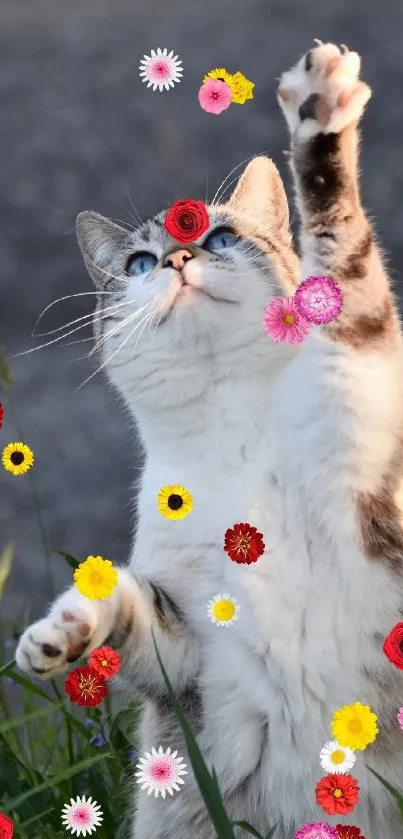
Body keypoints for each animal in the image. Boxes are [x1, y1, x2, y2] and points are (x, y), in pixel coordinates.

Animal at [16, 42, 403, 836]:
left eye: (220, 237)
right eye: (138, 263)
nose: (176, 260)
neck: (230, 429)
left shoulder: (359, 403)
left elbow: (341, 249)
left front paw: (319, 117)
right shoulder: (192, 654)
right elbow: (129, 604)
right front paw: (61, 631)